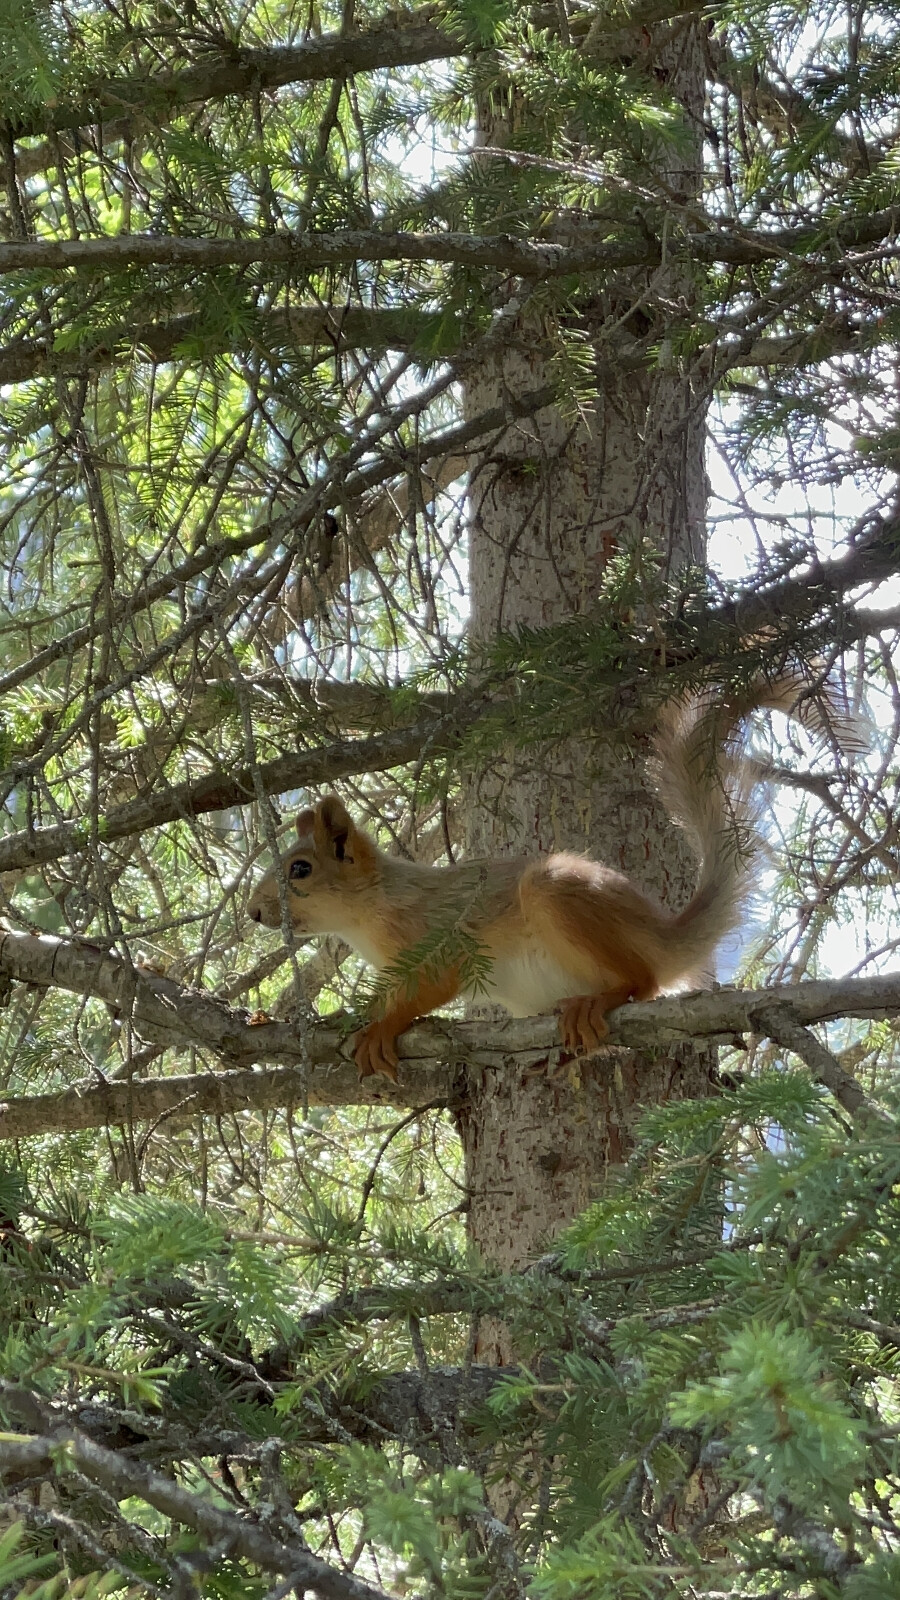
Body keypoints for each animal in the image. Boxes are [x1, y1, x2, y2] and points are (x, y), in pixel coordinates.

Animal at [243, 675, 851, 1075]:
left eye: (300, 869)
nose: (253, 911)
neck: (371, 910)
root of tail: (665, 937)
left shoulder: (439, 938)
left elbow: (432, 987)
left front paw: (382, 1029)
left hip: (557, 893)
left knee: (644, 982)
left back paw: (599, 1000)